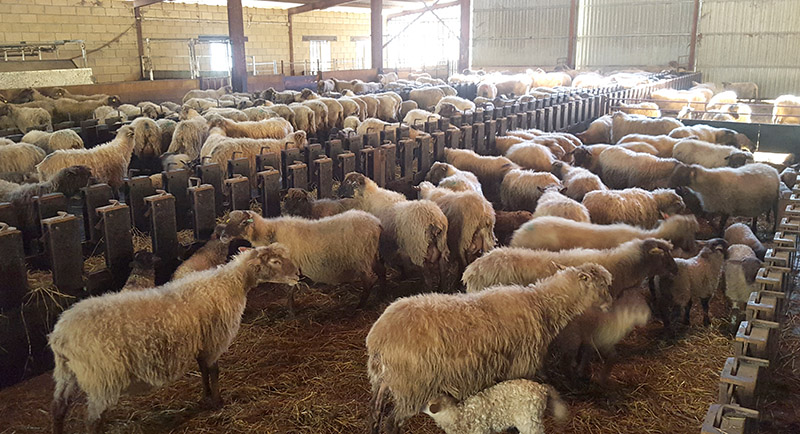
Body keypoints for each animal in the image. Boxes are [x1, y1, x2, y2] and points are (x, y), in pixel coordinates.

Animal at [49, 243, 299, 434]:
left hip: (66, 374)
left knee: (58, 409)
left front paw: (206, 396)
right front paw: (218, 402)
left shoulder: (201, 341)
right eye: (275, 261)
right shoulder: (214, 340)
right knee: (93, 421)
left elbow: (203, 370)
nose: (297, 275)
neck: (231, 283)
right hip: (102, 378)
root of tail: (61, 336)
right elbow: (214, 371)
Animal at [221, 209, 383, 309]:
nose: (223, 236)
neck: (270, 232)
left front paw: (291, 310)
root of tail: (376, 222)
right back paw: (383, 294)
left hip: (362, 258)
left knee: (369, 280)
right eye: (228, 220)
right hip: (372, 255)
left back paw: (360, 306)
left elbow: (290, 289)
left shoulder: (290, 266)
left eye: (243, 222)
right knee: (382, 273)